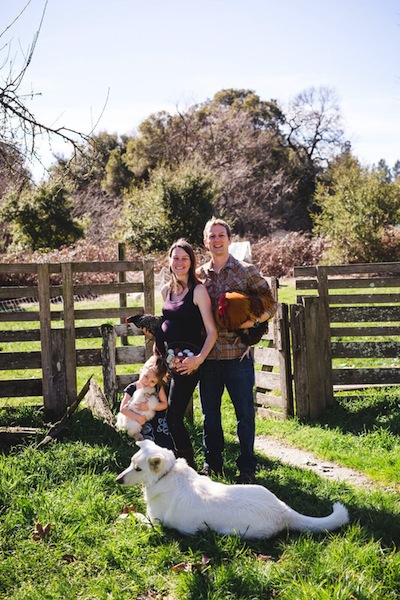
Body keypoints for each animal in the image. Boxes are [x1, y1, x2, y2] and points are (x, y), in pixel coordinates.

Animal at [116, 440, 349, 539]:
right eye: (130, 463)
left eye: (138, 469)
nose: (117, 479)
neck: (167, 473)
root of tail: (284, 511)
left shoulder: (155, 523)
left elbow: (136, 515)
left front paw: (124, 515)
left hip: (233, 531)